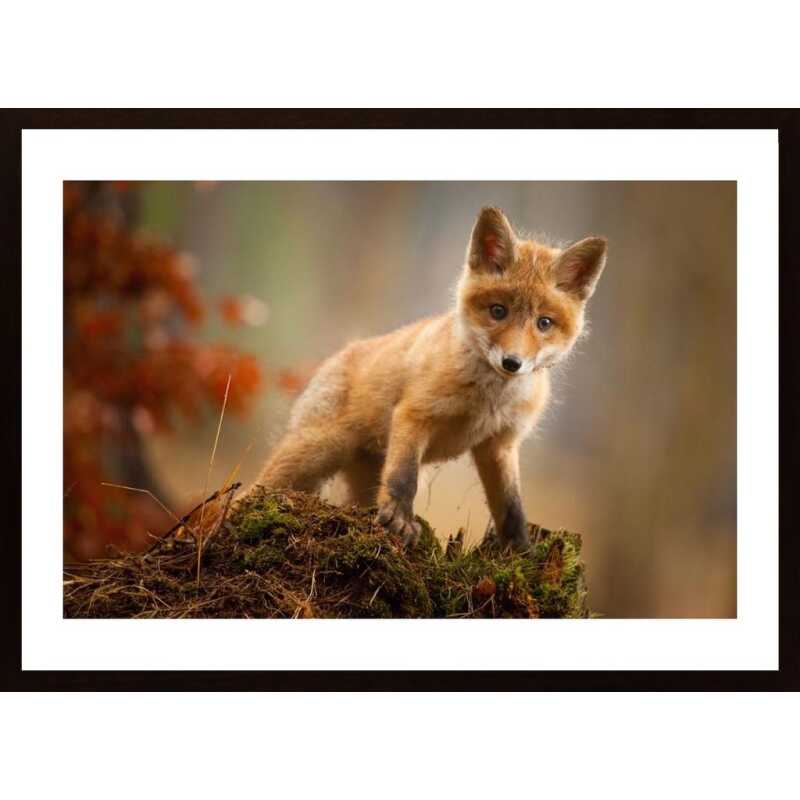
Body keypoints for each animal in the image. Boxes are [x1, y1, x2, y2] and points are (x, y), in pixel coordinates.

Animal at [253, 207, 607, 551]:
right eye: (498, 311)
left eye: (544, 323)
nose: (512, 362)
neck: (488, 400)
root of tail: (338, 355)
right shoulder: (415, 414)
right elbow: (404, 477)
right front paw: (400, 520)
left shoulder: (500, 444)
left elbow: (511, 507)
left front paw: (519, 552)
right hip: (314, 452)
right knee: (254, 489)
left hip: (361, 477)